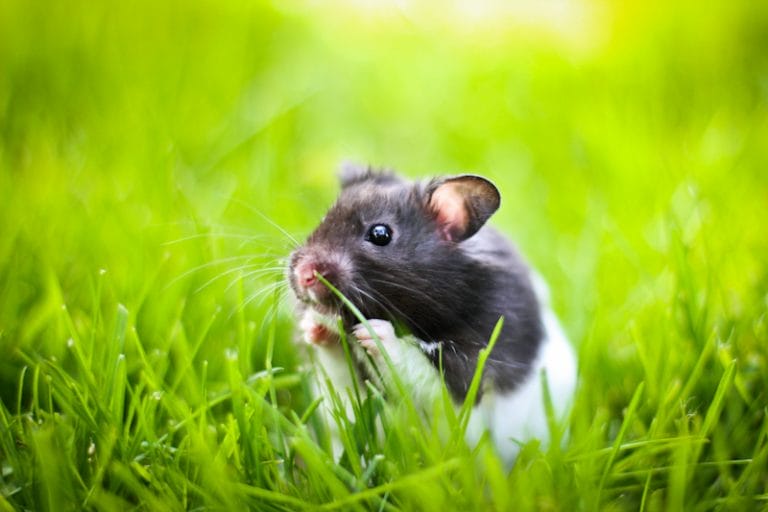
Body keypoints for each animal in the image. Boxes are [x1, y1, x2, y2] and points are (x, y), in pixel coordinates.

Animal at [288, 165, 577, 463]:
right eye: (324, 218)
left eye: (380, 234)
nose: (303, 276)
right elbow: (338, 371)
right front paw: (315, 327)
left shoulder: (470, 378)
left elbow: (417, 371)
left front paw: (375, 333)